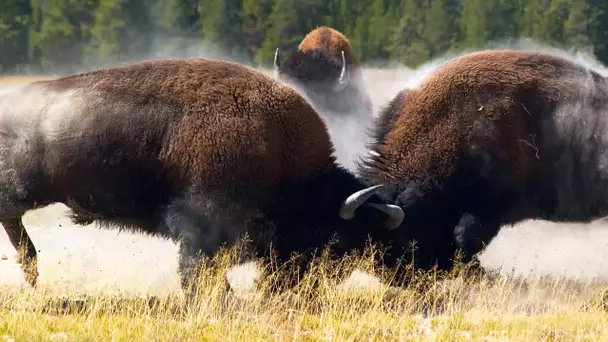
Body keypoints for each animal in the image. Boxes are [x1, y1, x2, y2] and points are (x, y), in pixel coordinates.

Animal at [0, 57, 404, 292]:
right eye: (336, 238)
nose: (308, 288)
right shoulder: (201, 230)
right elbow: (198, 272)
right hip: (24, 189)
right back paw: (31, 271)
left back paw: (32, 273)